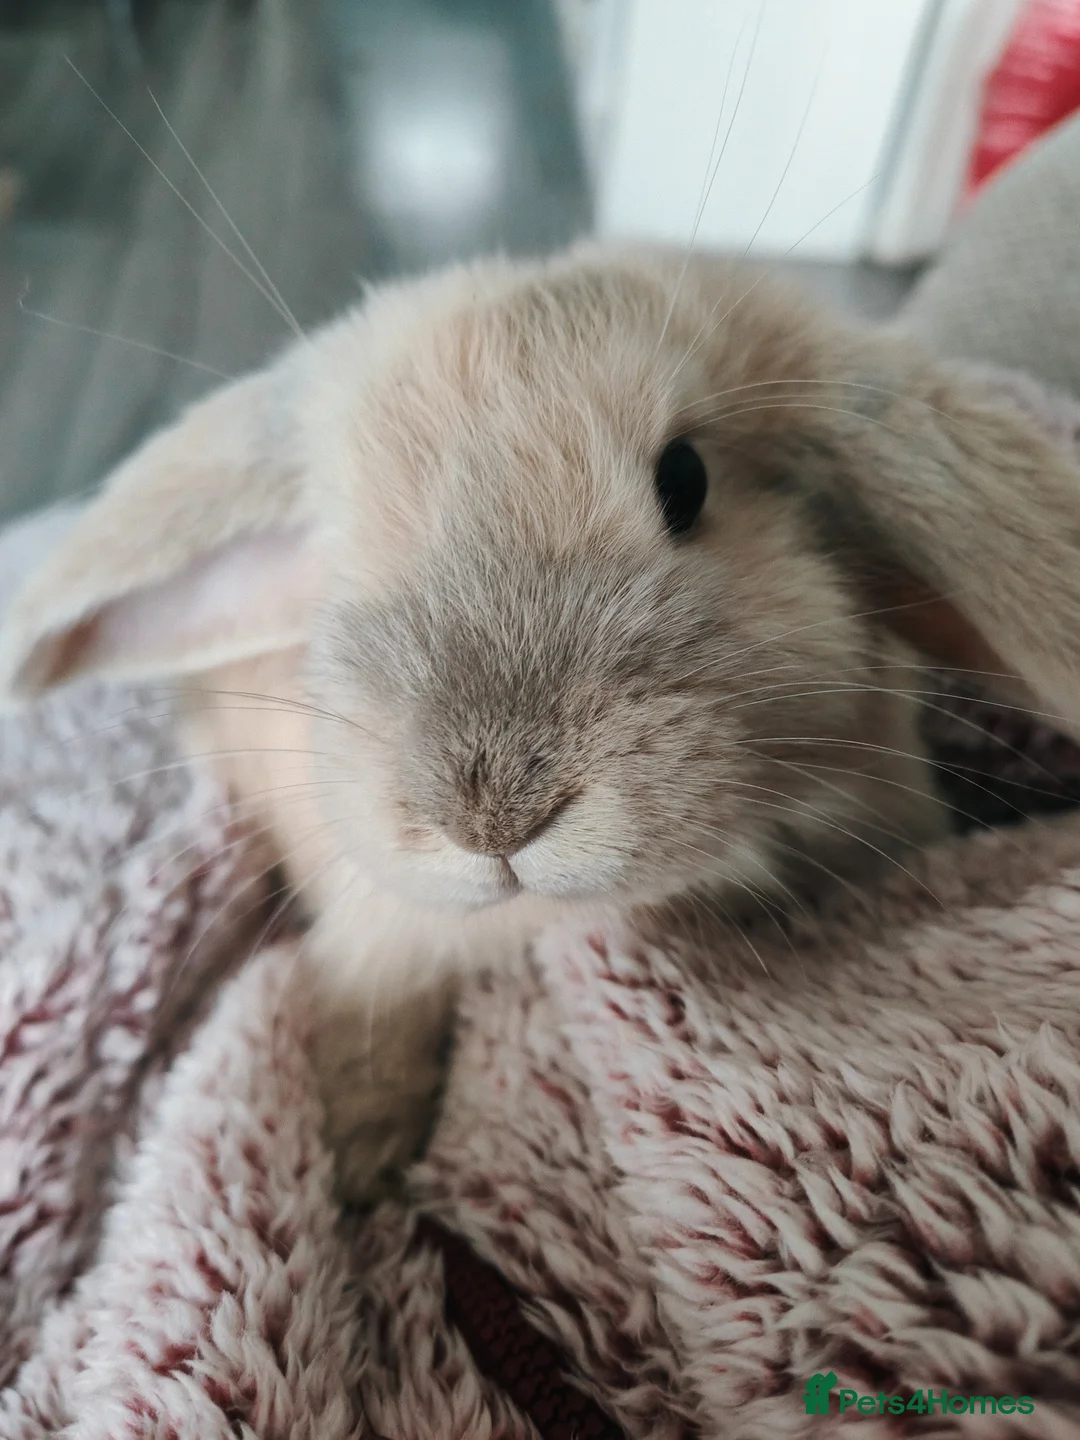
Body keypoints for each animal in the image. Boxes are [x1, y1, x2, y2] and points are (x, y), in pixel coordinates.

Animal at [5, 242, 1080, 1198]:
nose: (492, 817)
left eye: (686, 480)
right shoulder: (375, 932)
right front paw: (358, 1166)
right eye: (338, 542)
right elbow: (368, 1025)